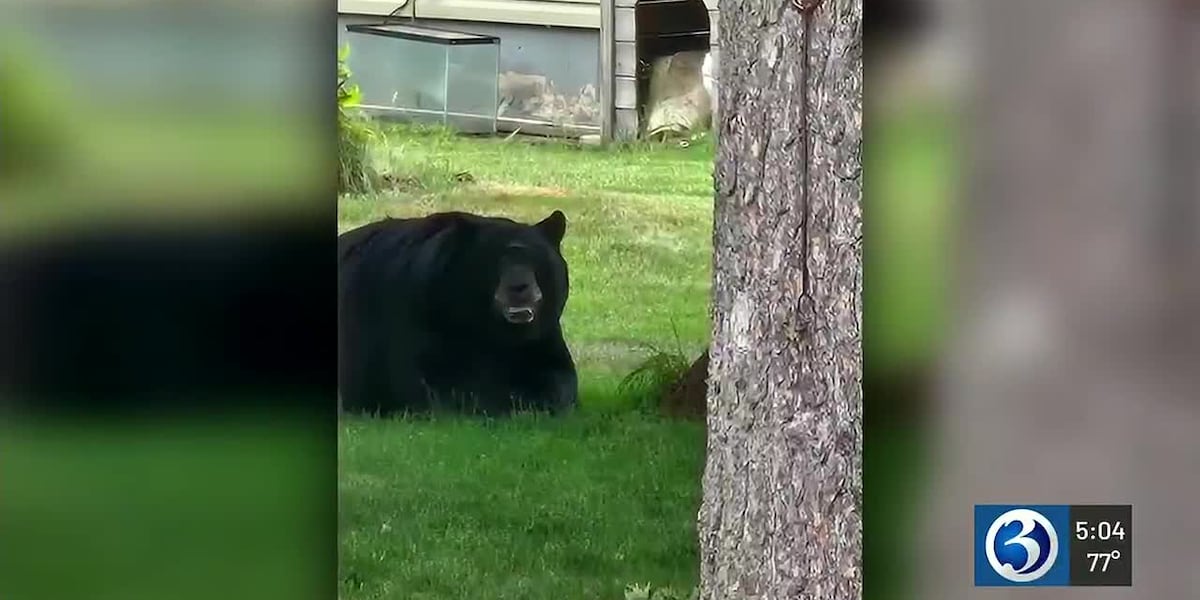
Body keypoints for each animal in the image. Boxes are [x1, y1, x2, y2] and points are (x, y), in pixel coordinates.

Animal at [338, 210, 578, 417]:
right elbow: (435, 384)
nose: (518, 286)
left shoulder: (541, 333)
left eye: (533, 257)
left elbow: (560, 374)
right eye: (497, 259)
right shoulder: (417, 312)